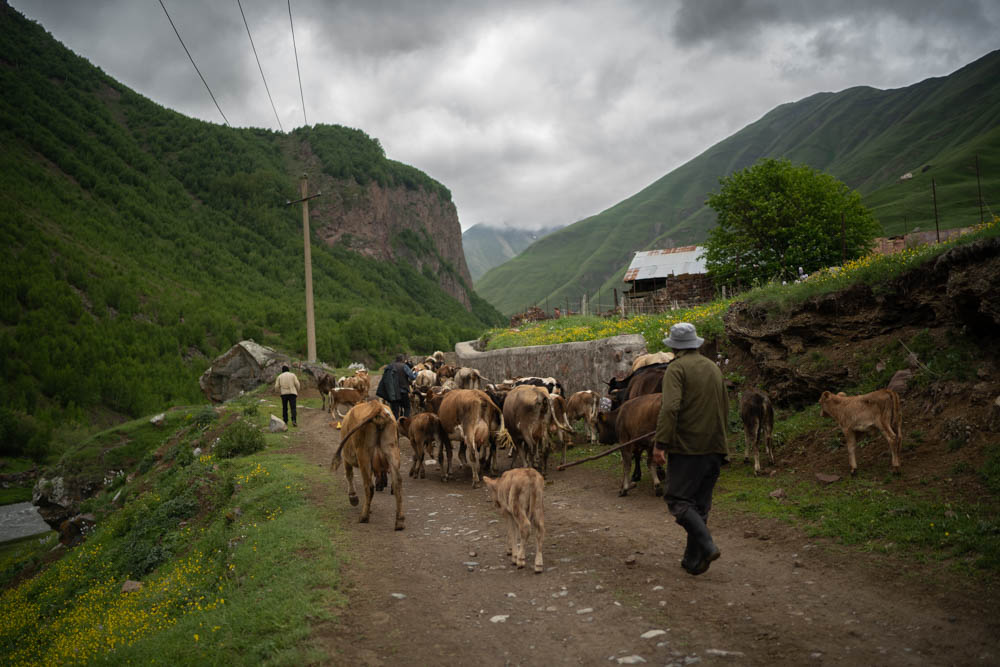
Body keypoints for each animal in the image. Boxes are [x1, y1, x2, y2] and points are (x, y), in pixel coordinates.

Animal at [330, 400, 404, 528]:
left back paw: (364, 516)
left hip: (363, 453)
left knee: (368, 486)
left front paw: (353, 497)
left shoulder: (346, 457)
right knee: (397, 483)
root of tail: (377, 406)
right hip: (392, 449)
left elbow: (349, 474)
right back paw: (399, 521)